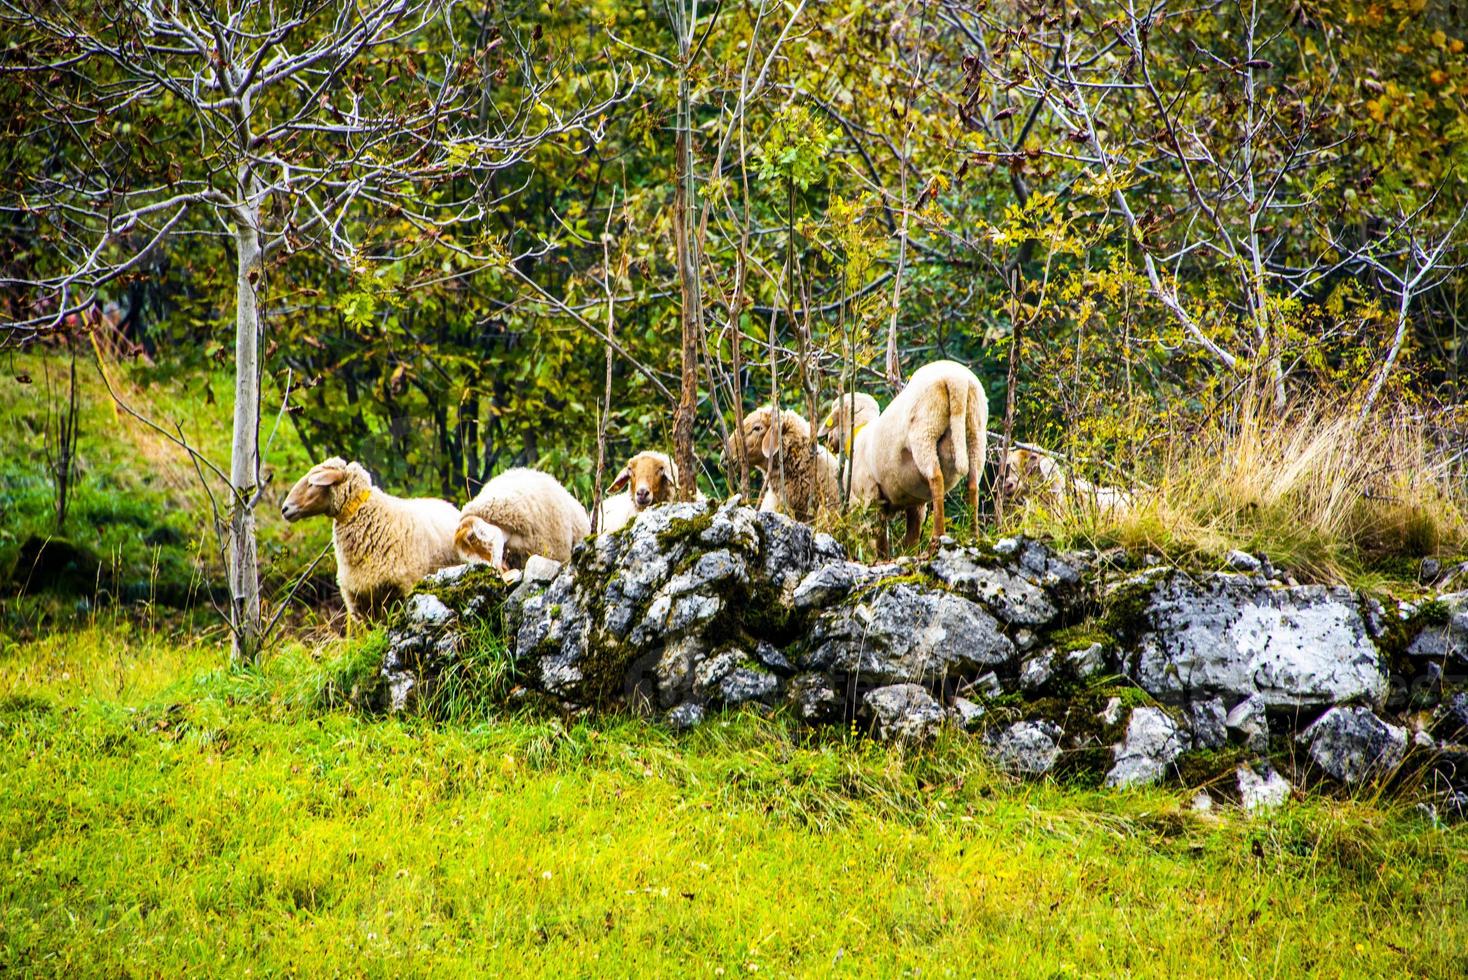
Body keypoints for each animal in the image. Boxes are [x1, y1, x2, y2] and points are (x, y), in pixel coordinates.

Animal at [816, 359, 986, 557]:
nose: (830, 441)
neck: (859, 436)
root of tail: (957, 381)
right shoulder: (915, 502)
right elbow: (912, 534)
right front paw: (909, 552)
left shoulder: (871, 494)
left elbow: (879, 533)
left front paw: (882, 557)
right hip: (975, 429)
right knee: (973, 483)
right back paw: (974, 536)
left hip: (925, 430)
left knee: (936, 478)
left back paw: (936, 540)